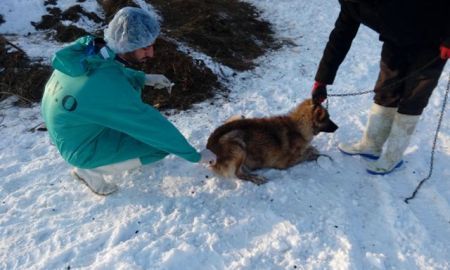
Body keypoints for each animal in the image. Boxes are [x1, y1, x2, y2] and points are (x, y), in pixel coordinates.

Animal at [206, 99, 336, 186]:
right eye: (327, 118)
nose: (337, 127)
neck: (299, 127)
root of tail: (209, 145)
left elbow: (311, 149)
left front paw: (313, 148)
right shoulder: (285, 163)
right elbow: (310, 155)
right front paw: (321, 155)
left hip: (240, 117)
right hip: (238, 144)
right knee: (238, 173)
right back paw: (256, 178)